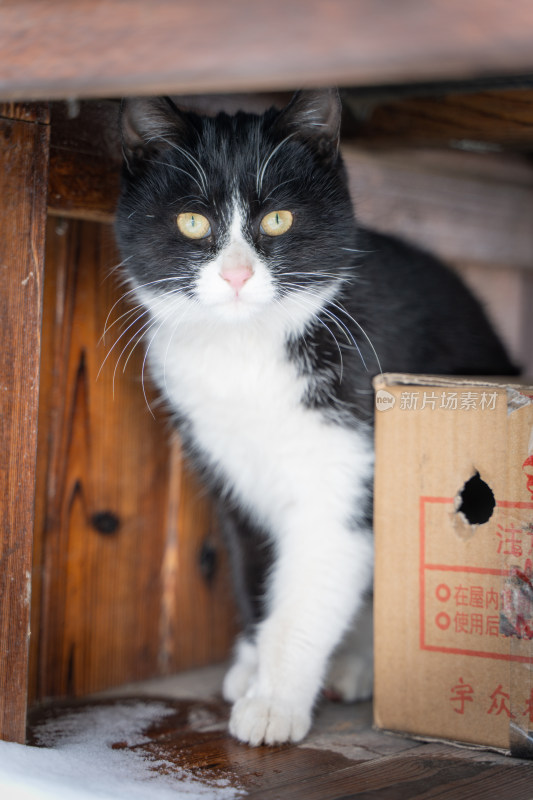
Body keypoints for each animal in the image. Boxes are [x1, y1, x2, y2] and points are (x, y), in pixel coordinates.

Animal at [114, 90, 516, 748]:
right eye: (192, 222)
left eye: (277, 219)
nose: (236, 275)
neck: (247, 354)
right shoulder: (228, 470)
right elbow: (254, 568)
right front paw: (252, 665)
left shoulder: (345, 466)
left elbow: (312, 584)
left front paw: (273, 700)